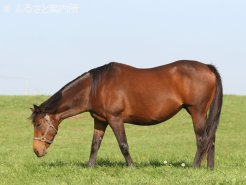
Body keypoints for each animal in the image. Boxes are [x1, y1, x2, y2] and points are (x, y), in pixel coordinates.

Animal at [30, 60, 223, 169]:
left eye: (38, 124)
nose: (36, 150)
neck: (95, 87)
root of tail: (208, 67)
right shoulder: (100, 121)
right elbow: (94, 145)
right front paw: (90, 167)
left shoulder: (115, 119)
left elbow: (123, 145)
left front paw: (132, 167)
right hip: (203, 114)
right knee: (211, 139)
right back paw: (210, 169)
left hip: (196, 112)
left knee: (202, 140)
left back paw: (194, 167)